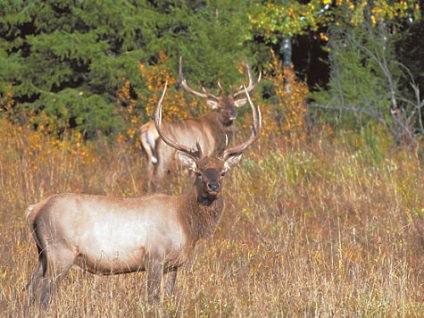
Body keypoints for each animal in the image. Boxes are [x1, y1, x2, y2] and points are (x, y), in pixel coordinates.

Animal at [26, 81, 262, 308]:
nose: (213, 186)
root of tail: (34, 210)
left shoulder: (173, 265)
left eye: (223, 172)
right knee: (44, 292)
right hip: (60, 250)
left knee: (31, 286)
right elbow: (153, 298)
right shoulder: (154, 257)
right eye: (199, 172)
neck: (186, 224)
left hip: (42, 253)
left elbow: (169, 297)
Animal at [139, 56, 260, 191]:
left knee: (148, 178)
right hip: (165, 154)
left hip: (146, 157)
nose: (233, 113)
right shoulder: (205, 151)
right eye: (220, 107)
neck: (215, 134)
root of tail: (147, 131)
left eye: (233, 104)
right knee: (157, 178)